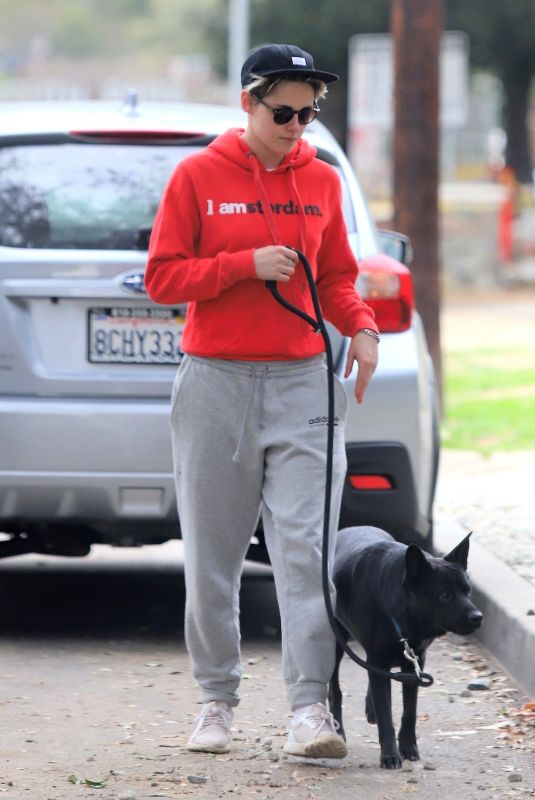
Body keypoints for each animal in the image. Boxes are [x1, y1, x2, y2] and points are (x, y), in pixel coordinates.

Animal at [328, 524, 484, 768]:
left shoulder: (415, 664)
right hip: (336, 644)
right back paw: (339, 730)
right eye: (444, 595)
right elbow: (386, 713)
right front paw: (390, 755)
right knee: (335, 690)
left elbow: (409, 711)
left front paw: (409, 747)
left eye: (467, 590)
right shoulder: (380, 660)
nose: (478, 618)